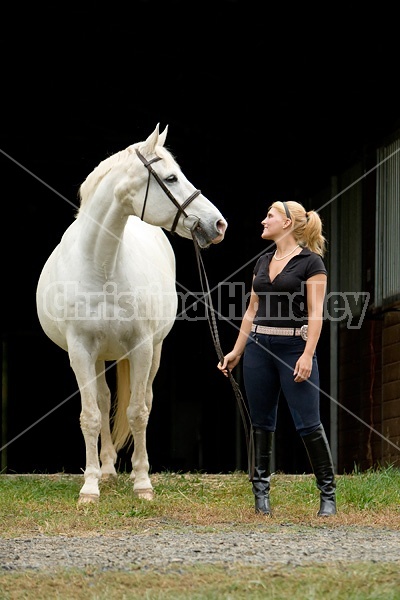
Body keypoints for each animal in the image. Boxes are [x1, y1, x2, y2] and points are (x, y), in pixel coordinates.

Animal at [36, 124, 227, 504]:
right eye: (171, 177)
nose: (218, 224)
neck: (102, 265)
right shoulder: (81, 351)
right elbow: (91, 416)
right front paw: (90, 487)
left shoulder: (141, 347)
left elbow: (138, 412)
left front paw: (142, 483)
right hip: (98, 356)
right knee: (104, 400)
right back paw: (107, 470)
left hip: (154, 350)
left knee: (145, 401)